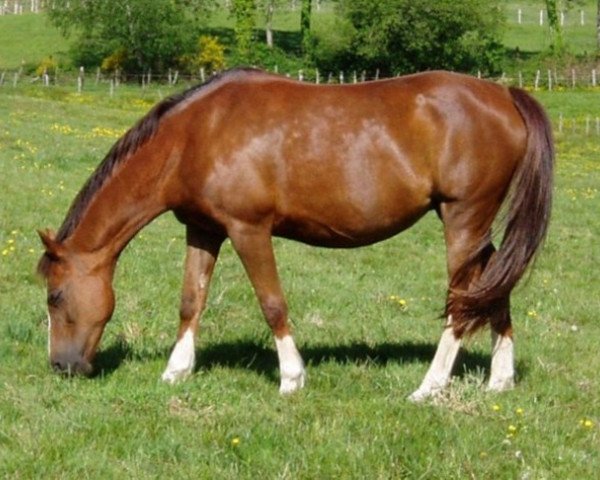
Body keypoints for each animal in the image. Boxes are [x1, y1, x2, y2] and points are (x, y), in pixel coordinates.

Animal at [37, 66, 552, 398]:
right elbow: (191, 300)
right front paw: (176, 371)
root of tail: (505, 95)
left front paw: (291, 378)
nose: (61, 367)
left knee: (462, 303)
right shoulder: (203, 230)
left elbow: (272, 303)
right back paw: (499, 381)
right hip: (474, 228)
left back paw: (429, 386)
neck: (196, 135)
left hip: (463, 219)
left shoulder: (248, 231)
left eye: (55, 297)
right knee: (493, 291)